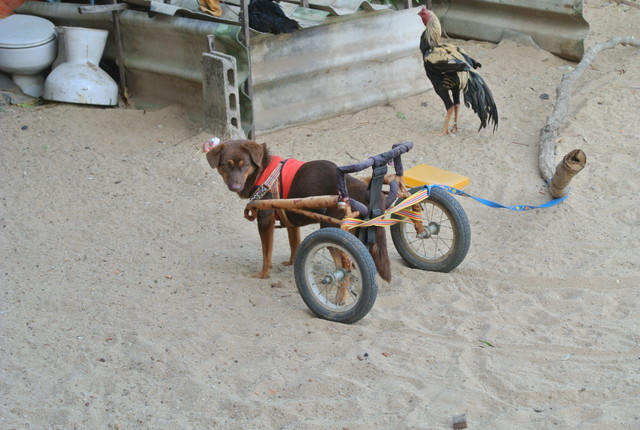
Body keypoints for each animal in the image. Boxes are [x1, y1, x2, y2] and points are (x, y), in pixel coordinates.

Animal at [205, 139, 391, 282]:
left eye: (244, 165)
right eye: (226, 165)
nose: (235, 186)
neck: (263, 171)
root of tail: (363, 189)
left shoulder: (265, 221)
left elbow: (266, 254)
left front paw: (263, 274)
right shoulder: (291, 219)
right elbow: (294, 244)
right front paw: (292, 262)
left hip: (331, 227)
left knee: (343, 265)